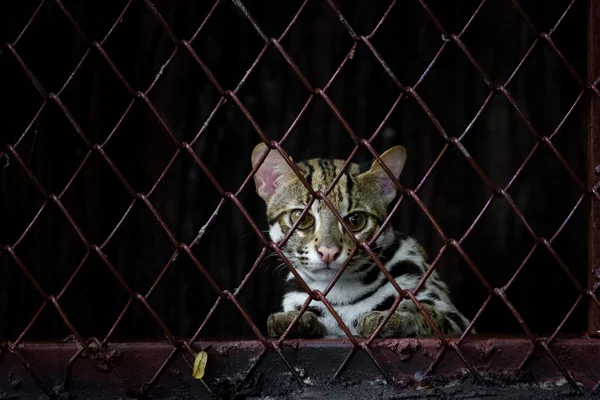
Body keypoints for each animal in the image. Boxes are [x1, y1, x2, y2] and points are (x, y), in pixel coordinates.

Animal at [251, 144, 472, 338]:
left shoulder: (457, 319)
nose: (329, 252)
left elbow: (427, 312)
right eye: (302, 218)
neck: (338, 292)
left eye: (356, 220)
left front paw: (393, 317)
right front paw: (294, 318)